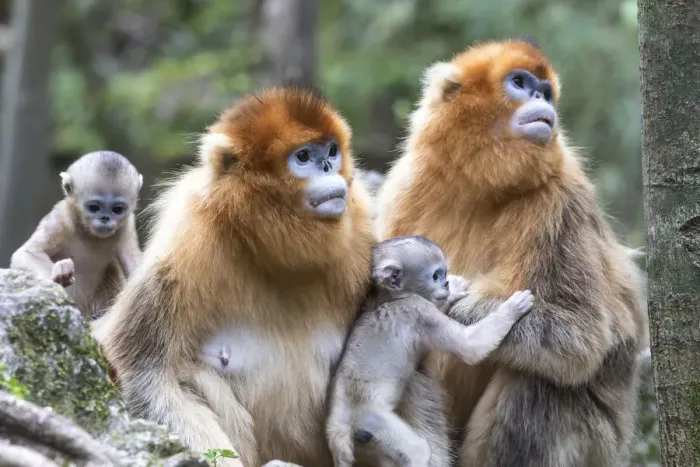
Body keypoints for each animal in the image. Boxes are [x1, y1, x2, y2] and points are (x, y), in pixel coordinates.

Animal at [11, 150, 143, 319]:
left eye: (117, 209)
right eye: (94, 208)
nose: (105, 218)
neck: (89, 234)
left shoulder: (127, 225)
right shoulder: (60, 219)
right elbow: (26, 254)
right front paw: (60, 275)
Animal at [91, 85, 385, 467]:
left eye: (332, 151)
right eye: (303, 156)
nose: (326, 165)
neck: (278, 253)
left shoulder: (362, 223)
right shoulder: (186, 242)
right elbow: (148, 375)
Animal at [326, 236, 534, 467]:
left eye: (444, 274)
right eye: (436, 276)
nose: (445, 283)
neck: (391, 298)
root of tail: (338, 425)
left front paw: (455, 289)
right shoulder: (419, 311)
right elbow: (470, 347)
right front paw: (511, 309)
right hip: (370, 421)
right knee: (418, 451)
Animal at [375, 40, 647, 467]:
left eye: (546, 92)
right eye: (520, 83)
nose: (541, 99)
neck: (481, 186)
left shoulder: (560, 197)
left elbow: (581, 336)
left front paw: (453, 307)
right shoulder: (405, 185)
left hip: (597, 444)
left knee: (537, 382)